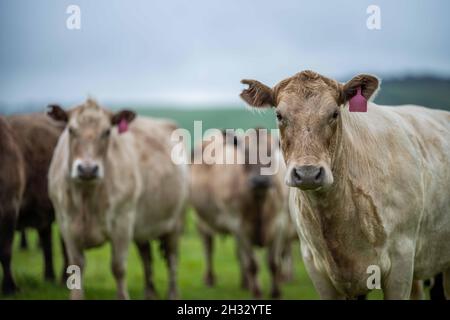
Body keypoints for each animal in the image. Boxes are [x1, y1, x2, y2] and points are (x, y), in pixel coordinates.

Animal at [190, 129, 296, 298]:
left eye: (270, 153)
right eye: (245, 153)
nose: (260, 181)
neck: (260, 200)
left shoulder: (280, 223)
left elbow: (273, 262)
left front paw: (276, 292)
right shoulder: (240, 226)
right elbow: (252, 264)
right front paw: (257, 292)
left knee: (239, 255)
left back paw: (245, 283)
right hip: (201, 219)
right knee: (208, 247)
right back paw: (210, 278)